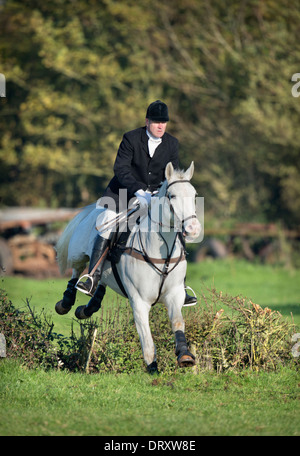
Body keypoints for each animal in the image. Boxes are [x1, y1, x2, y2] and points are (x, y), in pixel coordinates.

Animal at [56, 162, 202, 372]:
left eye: (194, 195)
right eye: (172, 196)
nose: (193, 229)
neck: (161, 252)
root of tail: (92, 210)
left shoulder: (174, 295)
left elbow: (177, 323)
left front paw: (185, 355)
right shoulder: (140, 302)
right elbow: (147, 342)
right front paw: (152, 369)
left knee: (101, 281)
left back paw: (87, 307)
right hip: (78, 253)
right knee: (77, 272)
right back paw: (68, 301)